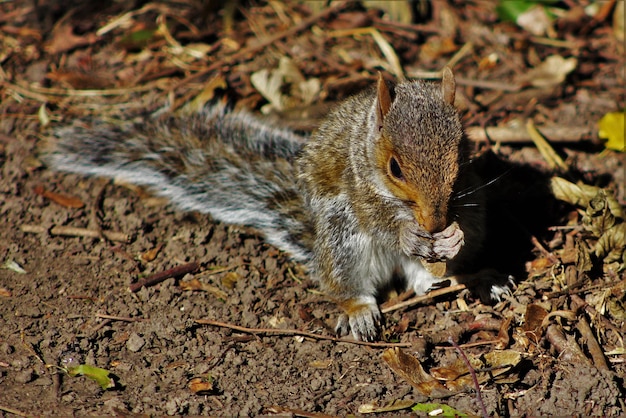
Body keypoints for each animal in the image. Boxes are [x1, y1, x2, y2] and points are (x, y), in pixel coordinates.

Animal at [45, 68, 512, 342]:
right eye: (395, 167)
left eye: (462, 154)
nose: (434, 223)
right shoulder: (360, 193)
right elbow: (381, 221)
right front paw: (409, 234)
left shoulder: (466, 194)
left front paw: (450, 236)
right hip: (341, 236)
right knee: (347, 285)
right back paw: (359, 308)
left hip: (474, 218)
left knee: (431, 280)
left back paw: (476, 277)